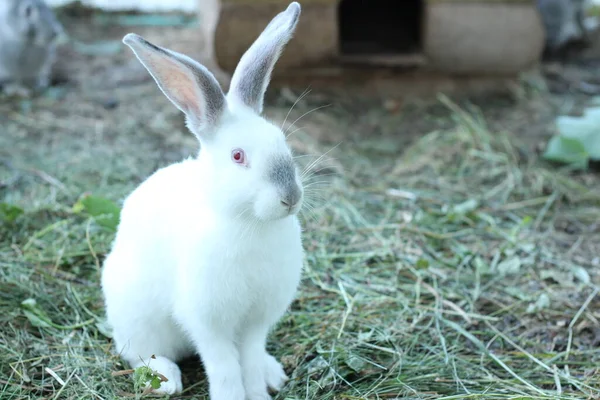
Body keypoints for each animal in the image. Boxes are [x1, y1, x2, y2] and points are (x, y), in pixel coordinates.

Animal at [101, 2, 304, 396]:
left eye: (283, 142)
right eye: (238, 156)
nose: (291, 197)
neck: (249, 223)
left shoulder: (256, 321)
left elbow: (250, 359)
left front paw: (258, 392)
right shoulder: (208, 321)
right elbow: (224, 367)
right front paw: (233, 396)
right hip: (137, 319)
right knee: (138, 352)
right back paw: (165, 379)